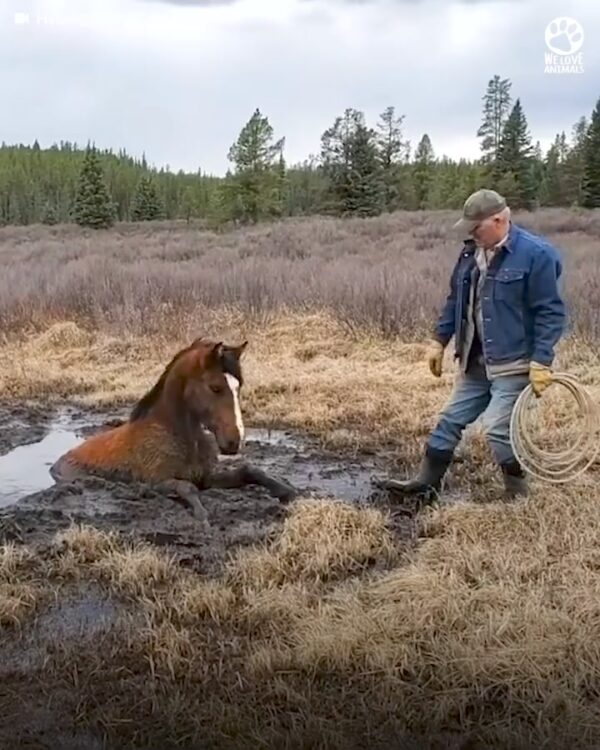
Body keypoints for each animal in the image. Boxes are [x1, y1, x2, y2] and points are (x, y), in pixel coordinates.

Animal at [50, 340, 298, 528]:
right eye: (215, 387)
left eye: (239, 387)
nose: (234, 441)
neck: (179, 437)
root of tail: (58, 462)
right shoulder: (155, 482)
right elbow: (185, 487)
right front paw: (201, 515)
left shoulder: (206, 478)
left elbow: (249, 471)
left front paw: (288, 491)